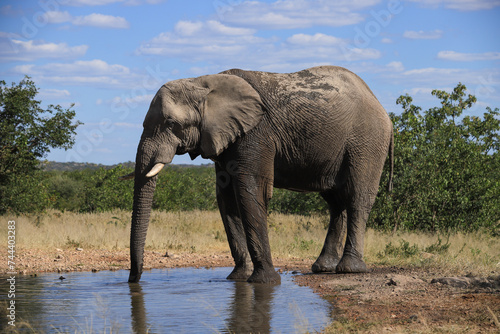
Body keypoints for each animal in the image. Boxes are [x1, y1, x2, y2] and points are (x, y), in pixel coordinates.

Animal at [123, 66, 392, 284]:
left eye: (171, 123)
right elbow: (226, 199)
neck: (203, 82)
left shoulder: (255, 134)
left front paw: (264, 281)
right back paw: (323, 268)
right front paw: (238, 278)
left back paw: (350, 269)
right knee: (336, 203)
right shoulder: (225, 138)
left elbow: (250, 191)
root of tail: (380, 104)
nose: (133, 280)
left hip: (367, 142)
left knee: (358, 198)